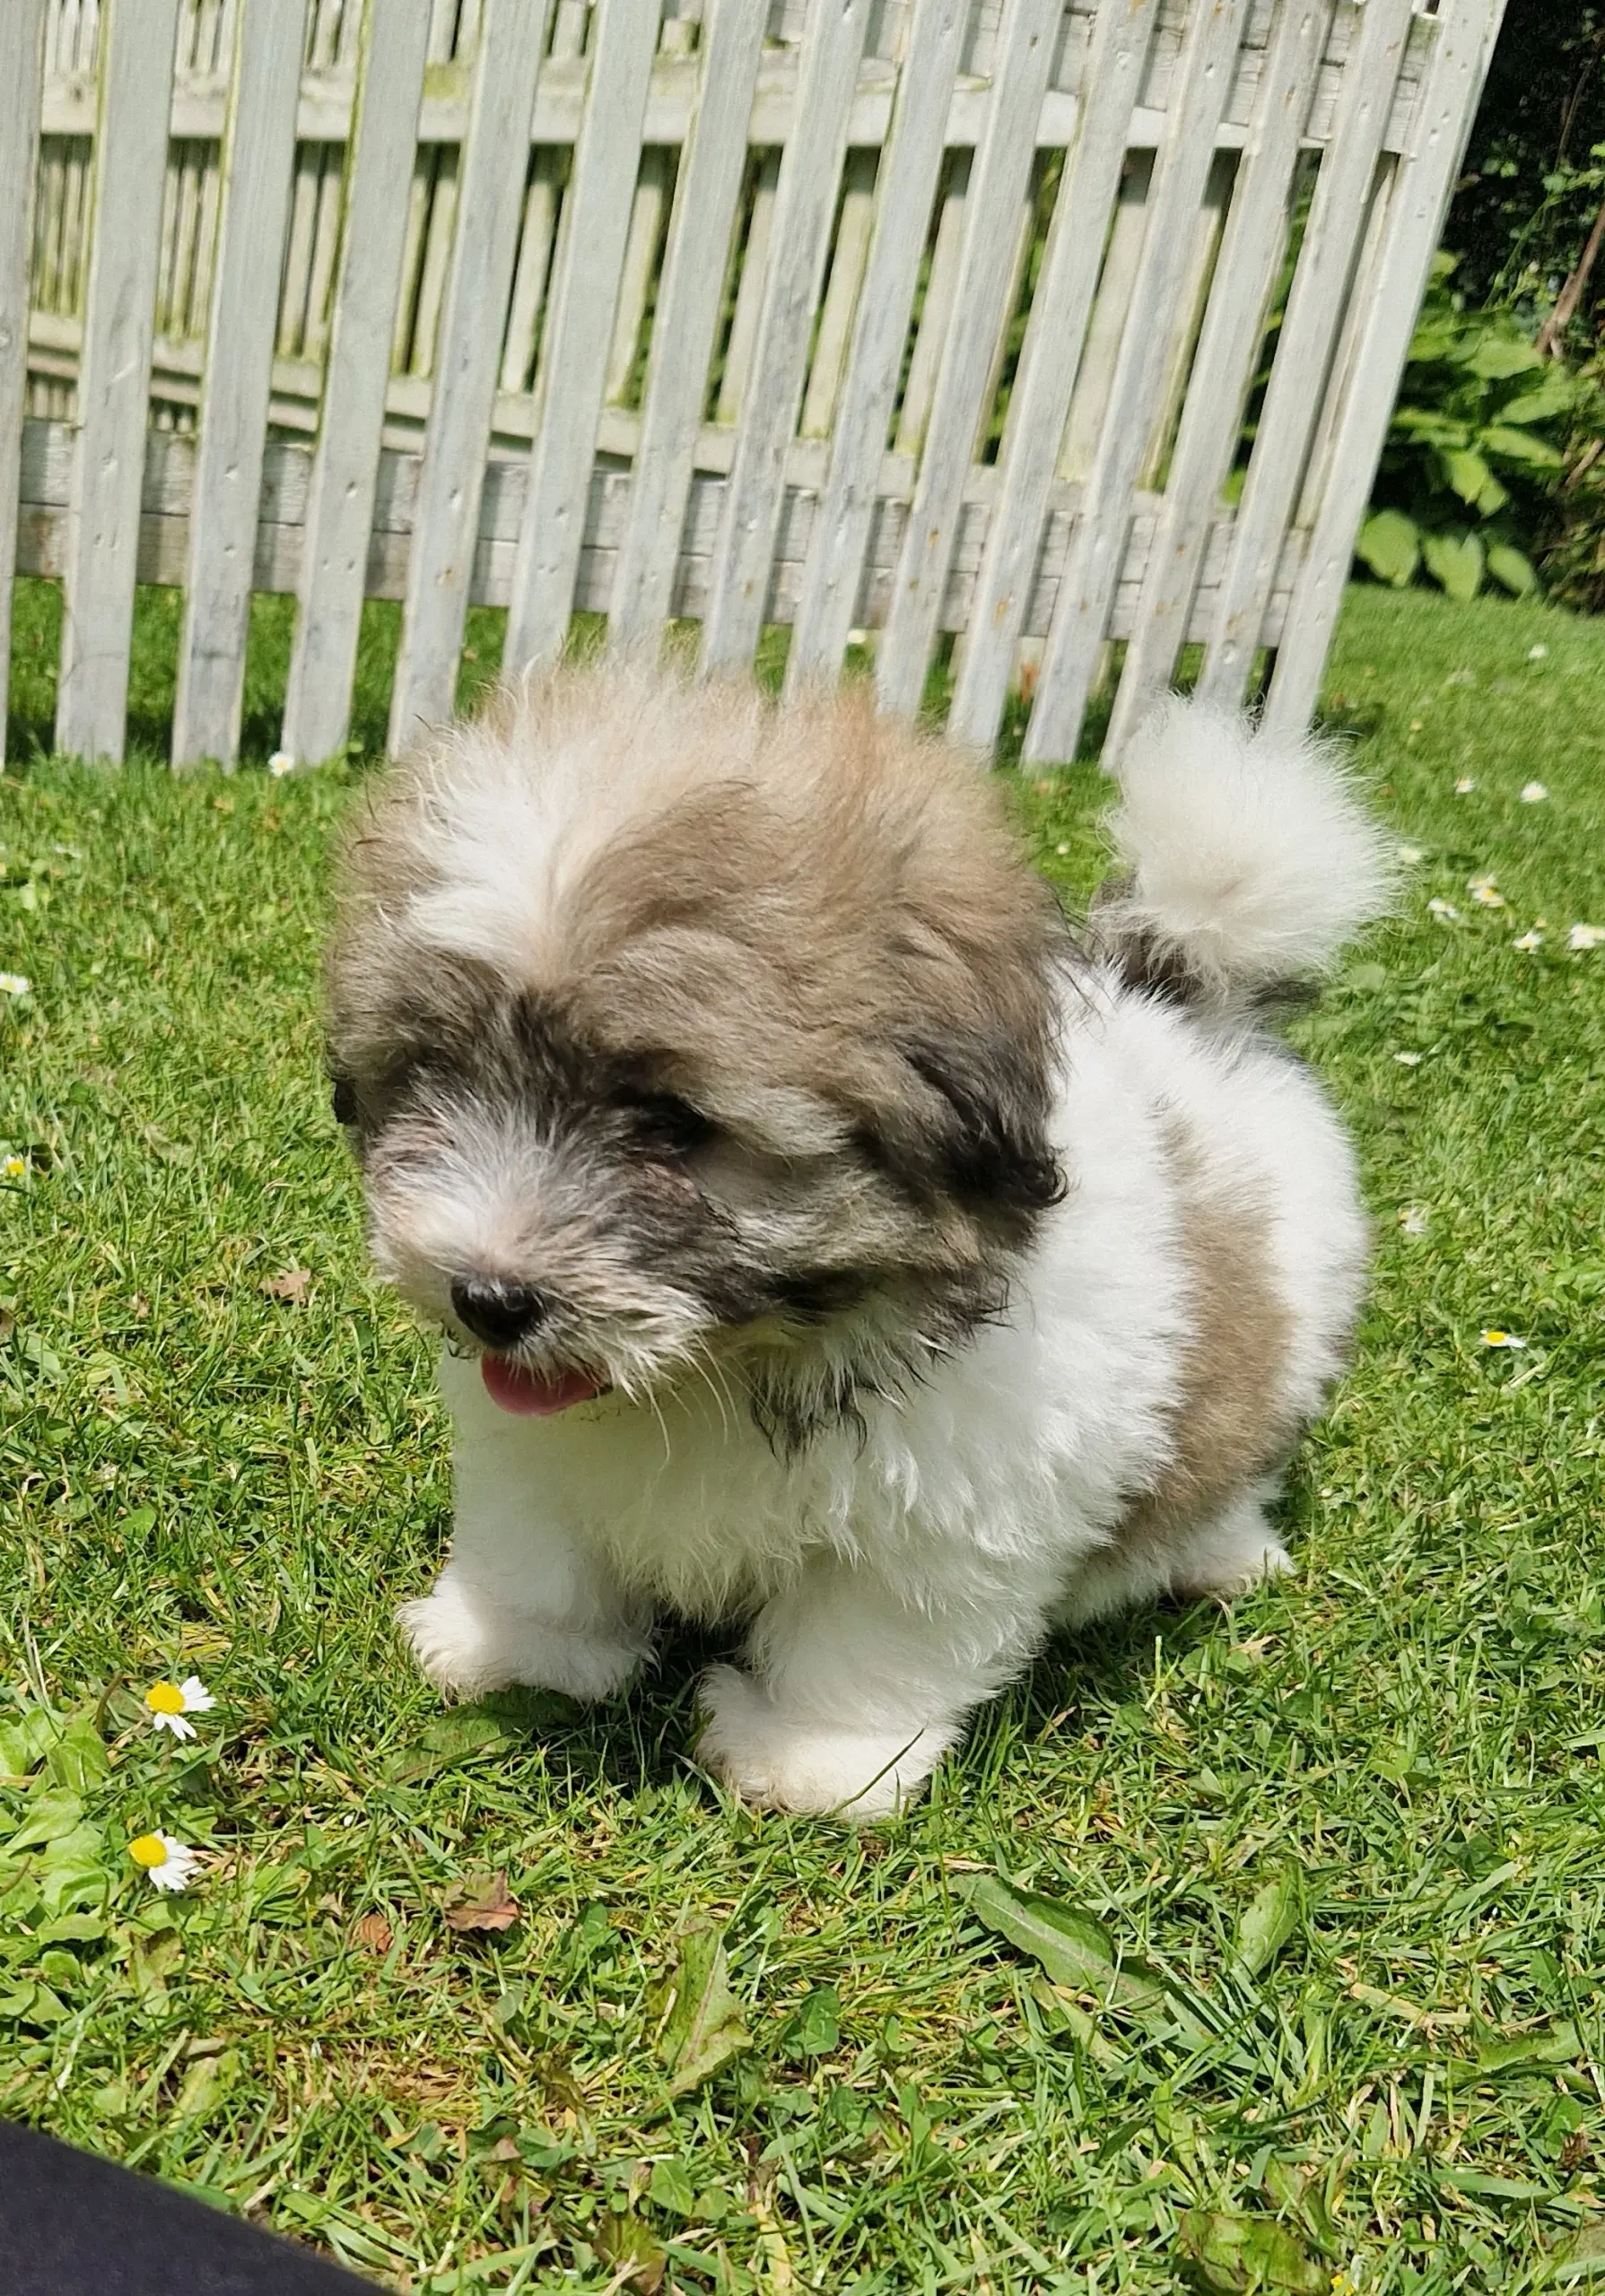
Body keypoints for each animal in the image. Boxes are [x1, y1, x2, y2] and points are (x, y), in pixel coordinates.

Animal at [330, 661, 1396, 1809]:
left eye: (673, 1124)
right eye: (436, 1072)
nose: (487, 1297)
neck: (732, 1365)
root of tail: (1188, 989)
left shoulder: (942, 1518)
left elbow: (867, 1638)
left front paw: (806, 1759)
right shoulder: (530, 1450)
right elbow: (539, 1547)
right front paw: (512, 1650)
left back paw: (1221, 1555)